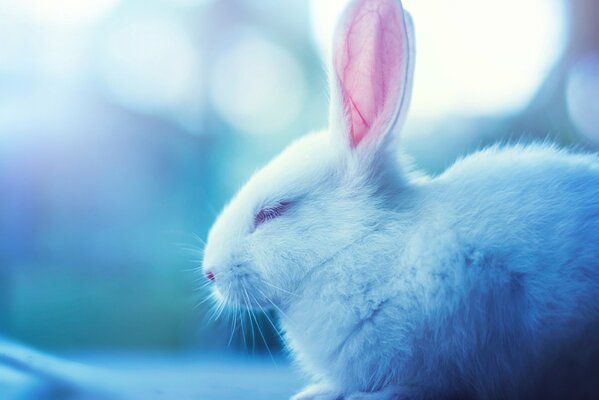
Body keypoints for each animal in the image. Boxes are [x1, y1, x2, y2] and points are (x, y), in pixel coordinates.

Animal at [202, 0, 599, 398]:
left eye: (274, 211)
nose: (209, 272)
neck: (360, 245)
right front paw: (315, 391)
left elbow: (421, 384)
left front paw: (364, 393)